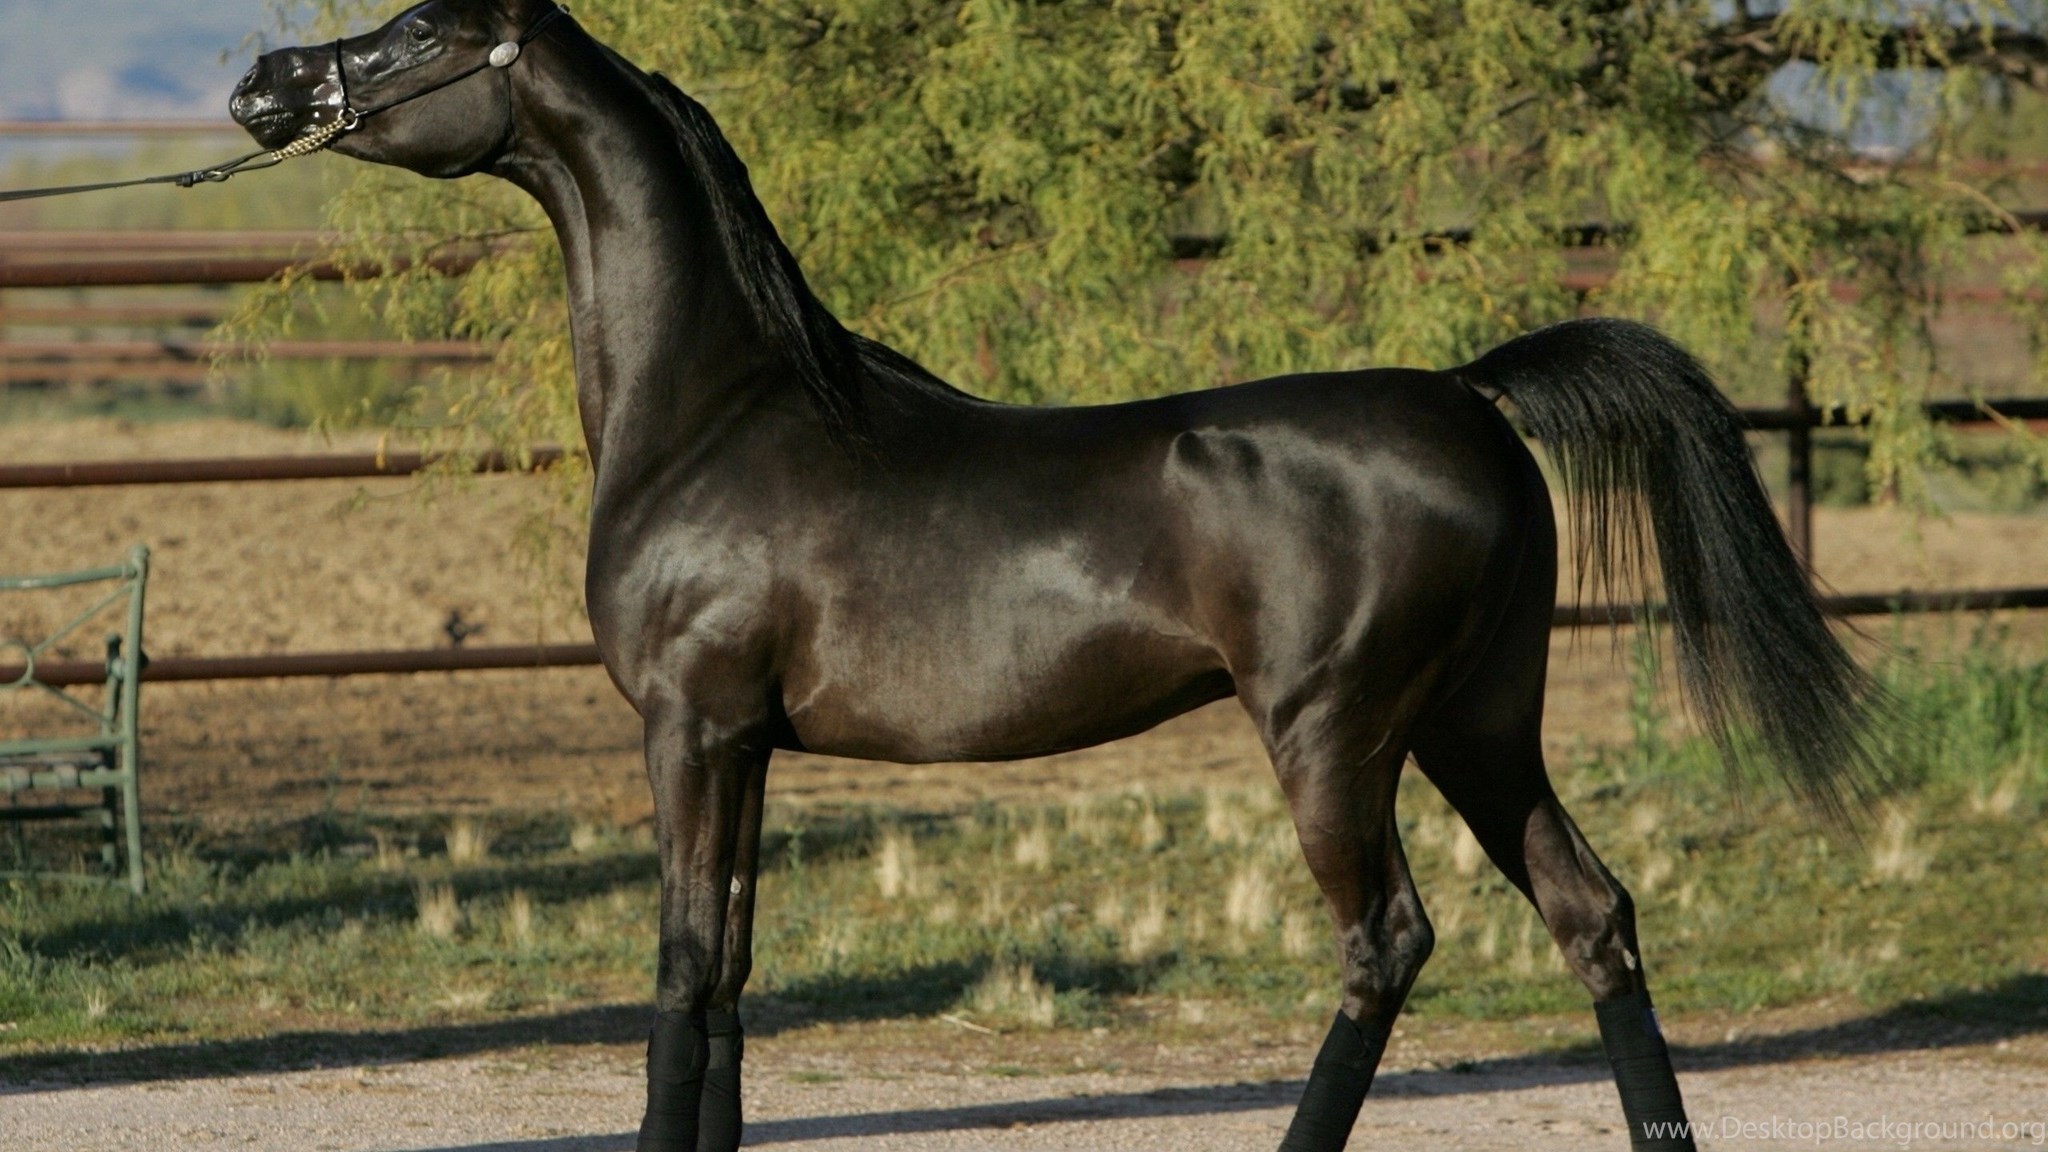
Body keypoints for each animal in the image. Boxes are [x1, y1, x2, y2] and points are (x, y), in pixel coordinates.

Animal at [230, 3, 1881, 1149]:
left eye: (421, 30)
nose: (264, 84)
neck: (720, 408)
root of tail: (1469, 395)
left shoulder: (689, 730)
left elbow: (682, 972)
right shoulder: (747, 744)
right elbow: (734, 973)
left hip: (1337, 736)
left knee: (1387, 942)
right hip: (1480, 726)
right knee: (1593, 917)